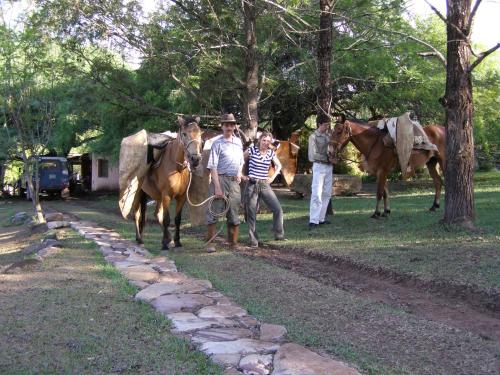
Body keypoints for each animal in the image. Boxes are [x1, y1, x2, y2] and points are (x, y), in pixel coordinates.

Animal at [135, 115, 203, 250]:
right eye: (184, 134)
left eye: (199, 133)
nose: (195, 159)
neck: (177, 168)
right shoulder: (166, 195)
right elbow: (167, 219)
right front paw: (165, 244)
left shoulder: (181, 197)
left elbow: (177, 219)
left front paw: (176, 241)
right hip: (139, 192)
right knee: (137, 214)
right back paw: (139, 239)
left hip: (156, 196)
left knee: (156, 213)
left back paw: (167, 238)